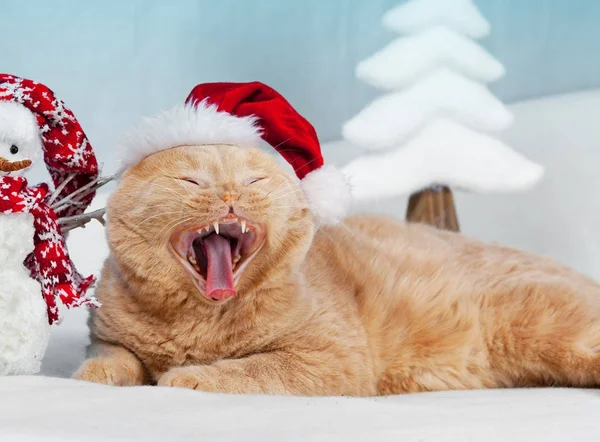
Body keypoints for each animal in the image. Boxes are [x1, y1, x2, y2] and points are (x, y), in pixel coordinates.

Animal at [74, 144, 600, 394]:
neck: (196, 323)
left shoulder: (329, 357)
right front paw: (94, 374)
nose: (229, 193)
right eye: (192, 180)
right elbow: (114, 357)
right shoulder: (108, 333)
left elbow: (253, 367)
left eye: (254, 180)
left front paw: (189, 376)